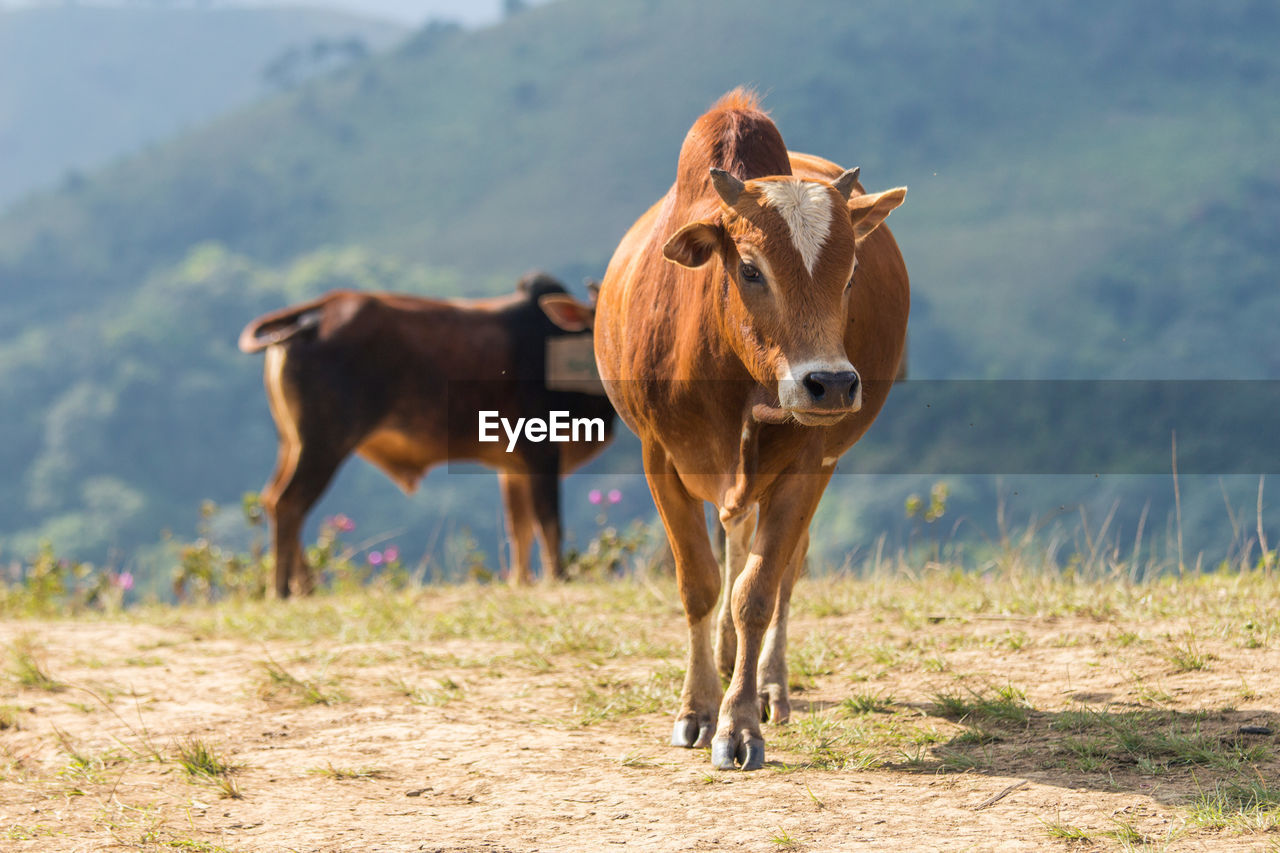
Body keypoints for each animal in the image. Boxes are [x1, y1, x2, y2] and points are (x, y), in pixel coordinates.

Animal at [243, 272, 619, 596]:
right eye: (593, 324)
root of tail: (320, 311)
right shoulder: (541, 451)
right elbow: (549, 523)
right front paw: (559, 578)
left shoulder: (513, 466)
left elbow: (520, 528)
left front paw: (521, 581)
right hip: (324, 442)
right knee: (289, 502)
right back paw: (282, 590)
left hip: (293, 442)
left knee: (274, 500)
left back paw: (304, 587)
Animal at [593, 89, 906, 768]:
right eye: (751, 269)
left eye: (850, 273)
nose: (831, 384)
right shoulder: (660, 457)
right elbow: (700, 584)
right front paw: (696, 709)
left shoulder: (808, 464)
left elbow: (757, 591)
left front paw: (738, 723)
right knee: (733, 543)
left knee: (782, 572)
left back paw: (767, 685)